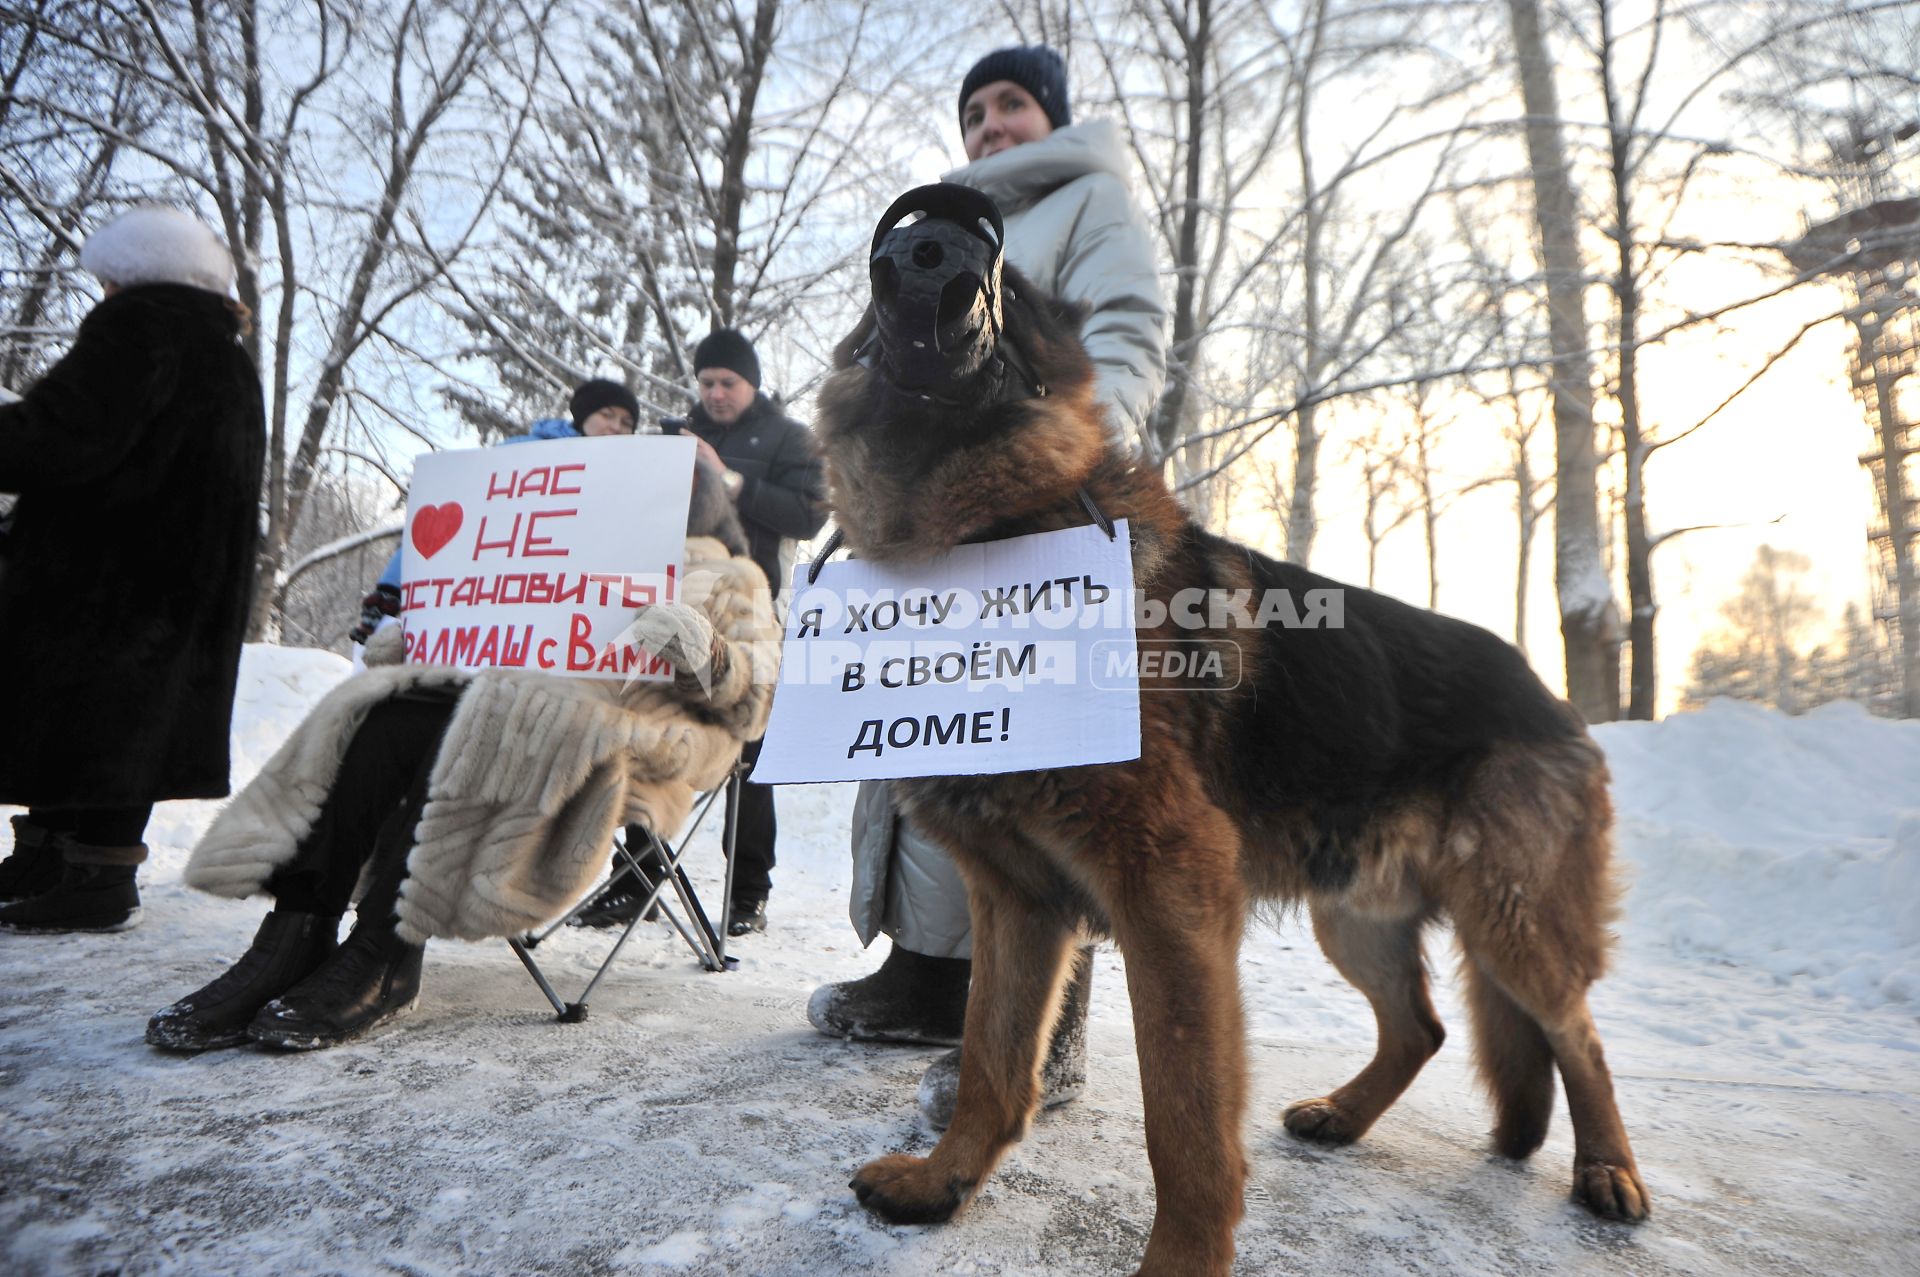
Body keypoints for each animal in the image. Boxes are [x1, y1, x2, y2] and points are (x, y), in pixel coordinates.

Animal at [817, 189, 1643, 1275]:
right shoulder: (1017, 901)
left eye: (1003, 264)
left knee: (1578, 1032)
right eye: (902, 230)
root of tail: (1546, 690)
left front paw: (1181, 1259)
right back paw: (1345, 1113)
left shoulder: (1172, 889)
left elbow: (1185, 1118)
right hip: (1354, 912)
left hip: (1511, 919)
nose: (931, 255)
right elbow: (993, 1060)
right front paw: (943, 1180)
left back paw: (1608, 1168)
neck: (986, 534)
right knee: (1420, 1026)